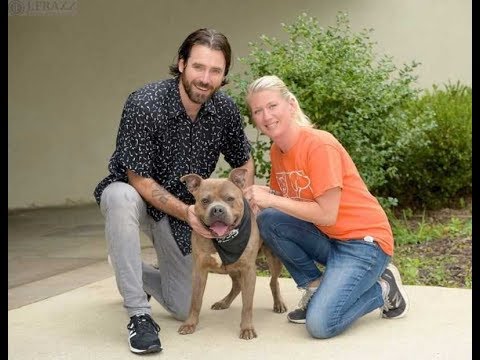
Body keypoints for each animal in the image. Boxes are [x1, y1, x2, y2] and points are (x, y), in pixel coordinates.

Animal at [178, 167, 286, 338]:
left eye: (229, 198)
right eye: (205, 200)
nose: (217, 209)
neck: (223, 240)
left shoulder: (248, 270)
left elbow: (247, 304)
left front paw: (247, 328)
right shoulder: (199, 270)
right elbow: (195, 301)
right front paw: (190, 324)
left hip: (273, 259)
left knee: (273, 281)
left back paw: (278, 303)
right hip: (231, 267)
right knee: (237, 285)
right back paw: (224, 302)